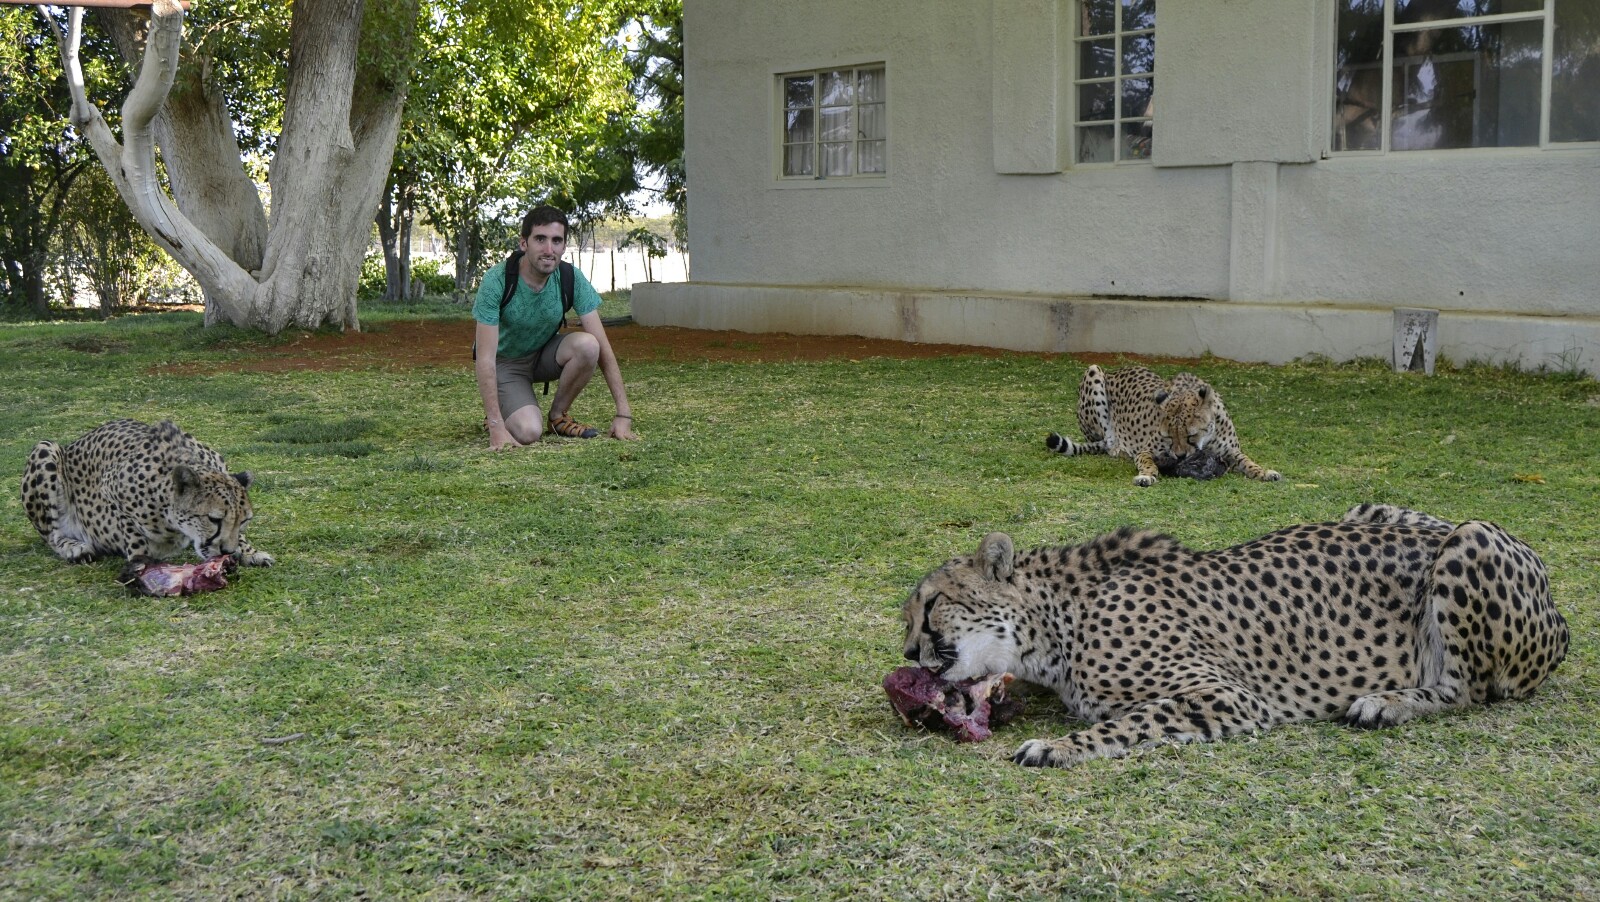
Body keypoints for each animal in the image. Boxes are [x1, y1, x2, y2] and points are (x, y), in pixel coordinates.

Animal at [21, 418, 273, 567]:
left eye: (244, 521)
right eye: (213, 519)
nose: (227, 551)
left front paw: (249, 551)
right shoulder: (110, 490)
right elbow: (132, 534)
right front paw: (142, 565)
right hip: (46, 449)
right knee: (51, 536)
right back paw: (73, 547)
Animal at [900, 503, 1568, 768]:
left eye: (930, 605)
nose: (906, 651)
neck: (1056, 620)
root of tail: (1559, 615)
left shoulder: (1227, 695)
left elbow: (1125, 721)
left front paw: (1055, 746)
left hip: (1469, 538)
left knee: (1466, 690)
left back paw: (1387, 703)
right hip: (1369, 508)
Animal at [1045, 364, 1280, 487]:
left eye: (1190, 435)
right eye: (1169, 436)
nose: (1179, 456)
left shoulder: (1231, 451)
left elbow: (1247, 461)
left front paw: (1264, 472)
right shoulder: (1146, 450)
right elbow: (1147, 462)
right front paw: (1147, 475)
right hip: (1094, 371)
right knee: (1107, 443)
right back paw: (1119, 449)